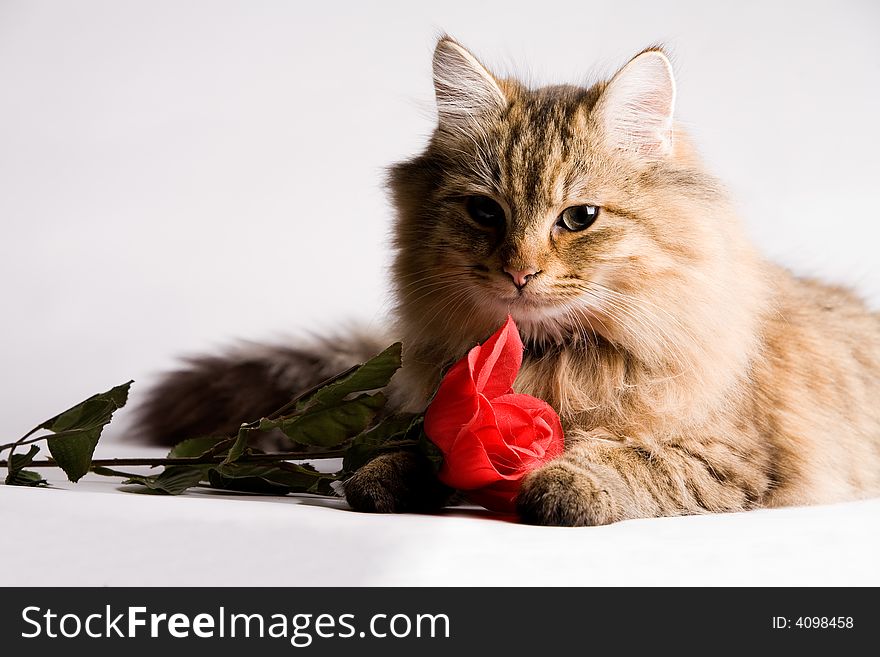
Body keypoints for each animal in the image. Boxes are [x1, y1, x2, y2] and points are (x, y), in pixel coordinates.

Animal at [138, 38, 880, 524]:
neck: (542, 359)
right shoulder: (433, 411)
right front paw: (386, 479)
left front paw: (561, 486)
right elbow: (415, 450)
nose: (520, 271)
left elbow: (635, 461)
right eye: (485, 212)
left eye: (579, 218)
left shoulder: (731, 455)